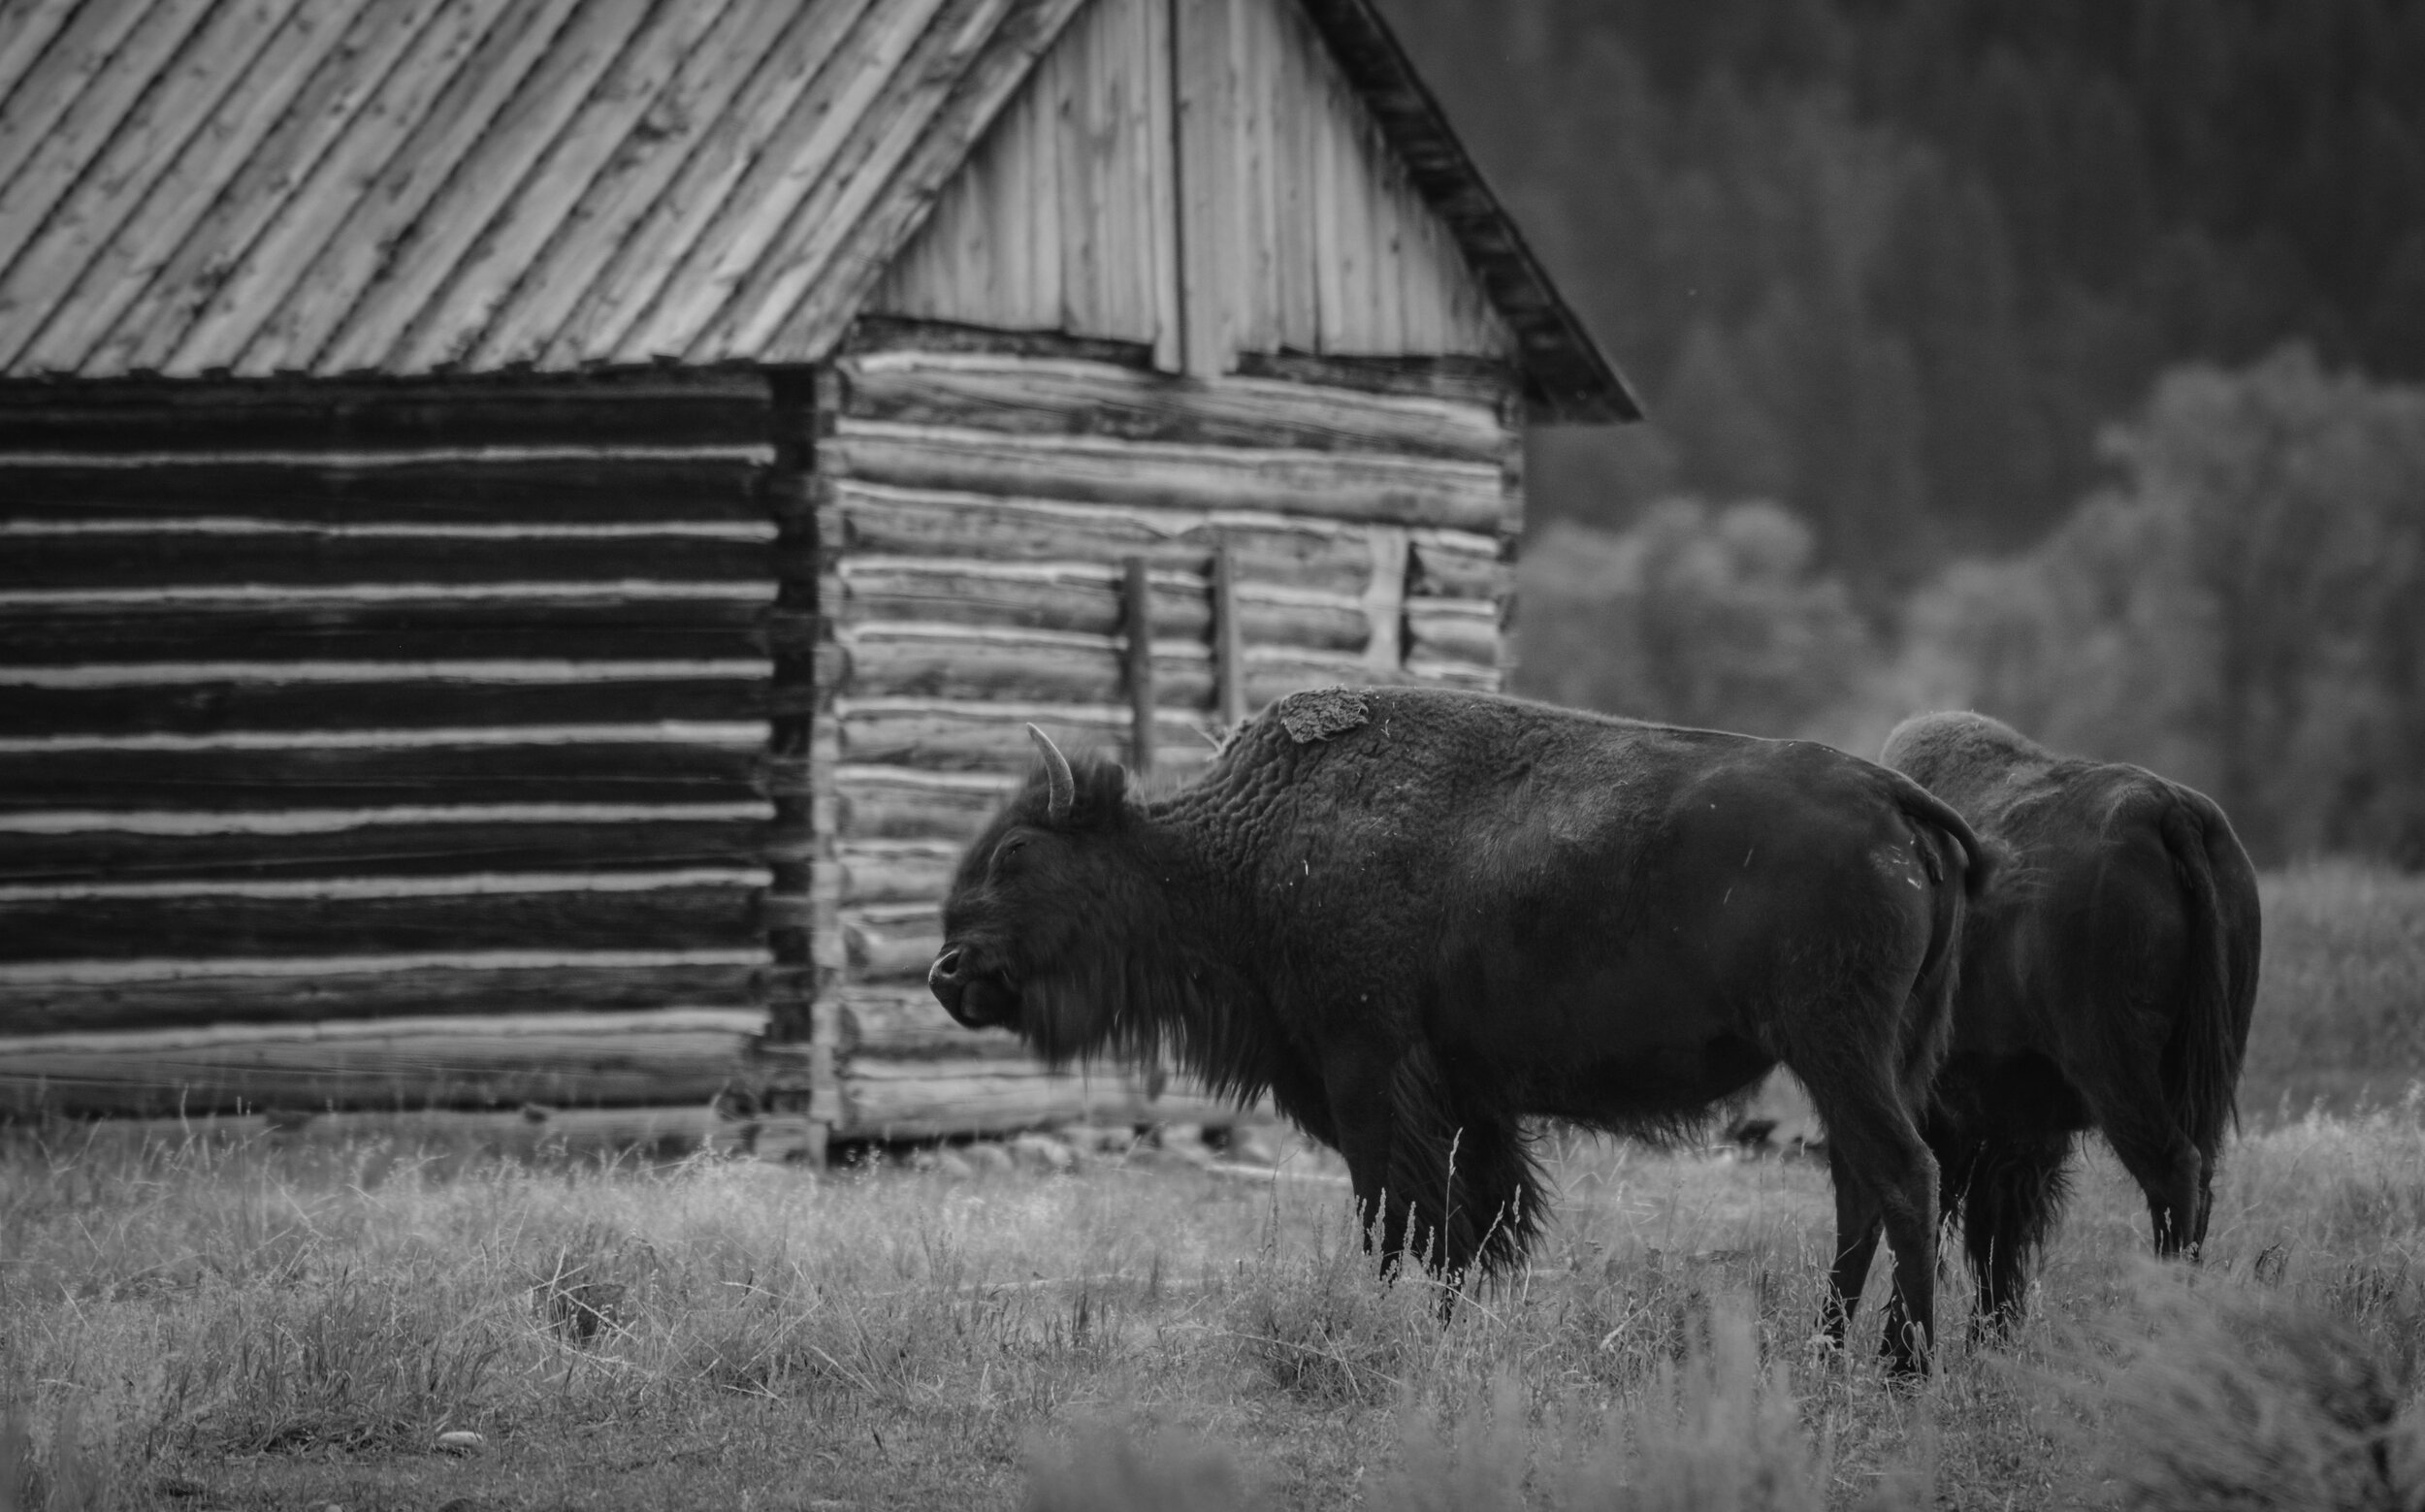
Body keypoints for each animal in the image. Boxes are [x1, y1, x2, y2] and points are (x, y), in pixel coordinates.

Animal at [930, 687, 1988, 1372]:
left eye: (1016, 850)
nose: (948, 973)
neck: (1244, 845)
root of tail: (1893, 797)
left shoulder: (1366, 1069)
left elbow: (1397, 1215)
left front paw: (1388, 1331)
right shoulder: (1469, 1097)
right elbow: (1473, 1222)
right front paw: (1454, 1330)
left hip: (1837, 1048)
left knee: (1903, 1174)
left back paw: (1903, 1364)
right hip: (1873, 1055)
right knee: (1860, 1188)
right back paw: (1825, 1350)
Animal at [1881, 711, 2261, 1337]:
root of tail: (2171, 810)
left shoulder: (1947, 1107)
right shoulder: (2020, 1124)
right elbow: (1996, 1227)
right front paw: (1990, 1335)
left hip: (2116, 1072)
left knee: (2173, 1172)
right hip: (2201, 1070)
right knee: (2201, 1177)